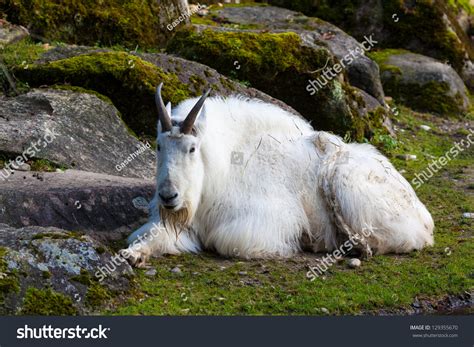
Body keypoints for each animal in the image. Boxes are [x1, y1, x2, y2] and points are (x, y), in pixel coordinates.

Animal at [122, 83, 434, 268]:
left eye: (192, 148)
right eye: (158, 145)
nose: (169, 196)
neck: (216, 169)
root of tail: (423, 214)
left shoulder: (266, 220)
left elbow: (225, 241)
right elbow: (153, 236)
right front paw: (133, 255)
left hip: (344, 183)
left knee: (397, 240)